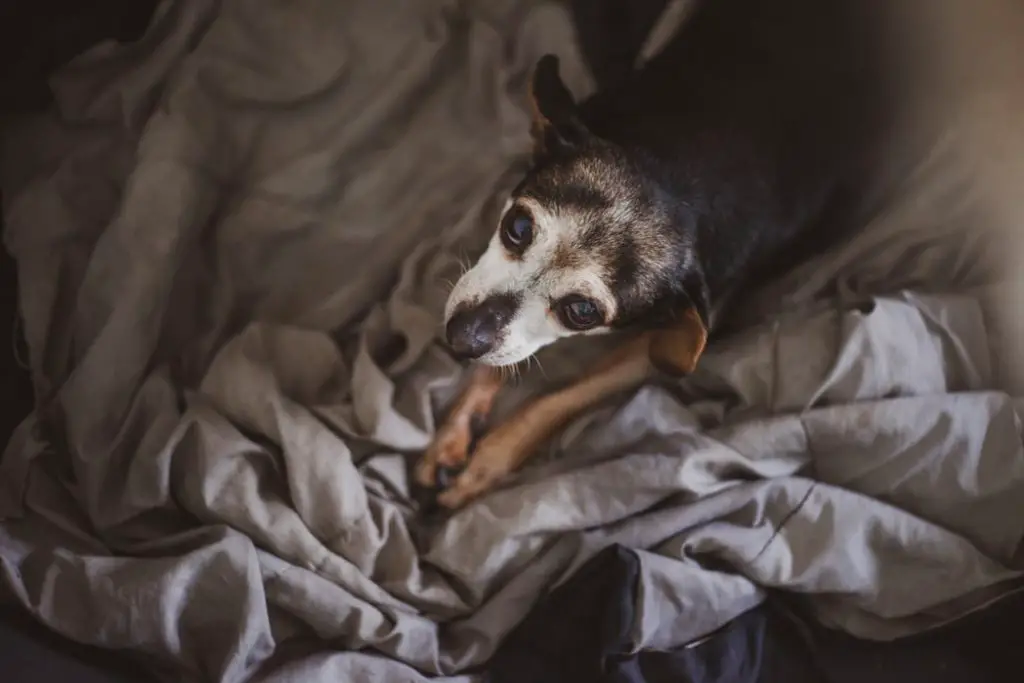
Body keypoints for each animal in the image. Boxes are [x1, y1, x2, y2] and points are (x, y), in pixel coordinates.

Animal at [413, 0, 897, 507]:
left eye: (581, 312)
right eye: (518, 228)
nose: (461, 338)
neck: (681, 167)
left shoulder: (661, 343)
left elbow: (557, 396)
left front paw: (485, 463)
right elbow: (499, 359)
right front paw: (453, 435)